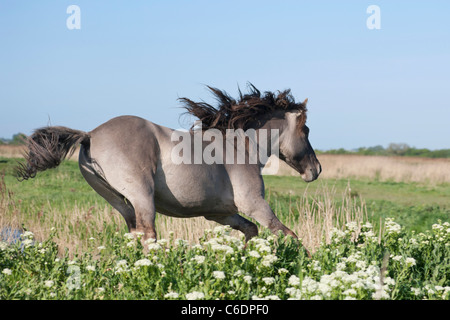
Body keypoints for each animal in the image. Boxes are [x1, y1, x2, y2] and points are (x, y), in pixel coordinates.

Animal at [16, 84, 320, 249]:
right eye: (306, 130)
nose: (315, 170)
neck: (239, 147)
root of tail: (90, 134)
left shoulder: (221, 214)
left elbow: (251, 232)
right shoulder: (255, 204)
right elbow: (289, 234)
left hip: (118, 201)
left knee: (135, 234)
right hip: (142, 195)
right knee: (148, 235)